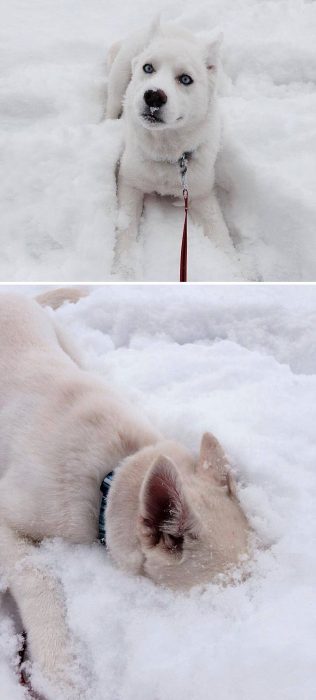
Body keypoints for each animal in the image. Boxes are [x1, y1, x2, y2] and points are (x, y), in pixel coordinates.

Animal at [107, 19, 236, 276]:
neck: (167, 153)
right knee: (110, 105)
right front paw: (124, 269)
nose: (154, 96)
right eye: (148, 68)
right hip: (118, 81)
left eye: (185, 79)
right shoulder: (129, 183)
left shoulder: (201, 193)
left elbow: (221, 235)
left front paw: (240, 272)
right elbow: (126, 228)